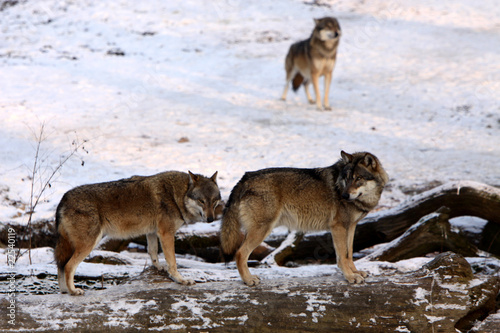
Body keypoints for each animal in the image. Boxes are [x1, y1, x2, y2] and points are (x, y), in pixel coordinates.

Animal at [52, 170, 221, 294]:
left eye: (214, 201)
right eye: (201, 201)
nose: (211, 219)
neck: (176, 195)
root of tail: (64, 198)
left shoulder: (152, 232)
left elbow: (153, 252)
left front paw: (159, 268)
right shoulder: (166, 233)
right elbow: (172, 262)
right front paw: (181, 280)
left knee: (61, 266)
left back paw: (65, 291)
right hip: (89, 244)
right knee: (68, 266)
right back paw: (74, 291)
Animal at [221, 151, 388, 286]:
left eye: (358, 178)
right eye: (347, 178)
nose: (344, 195)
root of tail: (245, 177)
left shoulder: (351, 226)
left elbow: (349, 253)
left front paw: (356, 272)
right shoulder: (338, 227)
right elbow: (342, 256)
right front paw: (350, 277)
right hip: (262, 230)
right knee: (240, 254)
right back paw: (248, 280)